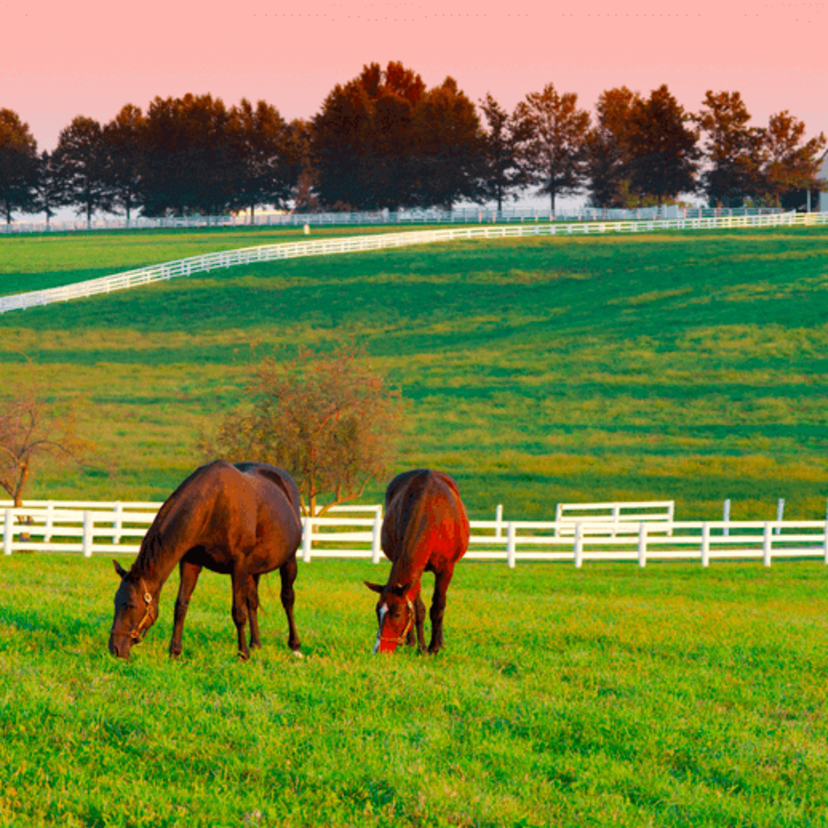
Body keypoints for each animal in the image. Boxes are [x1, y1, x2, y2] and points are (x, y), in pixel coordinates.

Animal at [108, 460, 304, 660]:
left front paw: (243, 654)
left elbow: (238, 612)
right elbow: (181, 606)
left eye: (130, 605)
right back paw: (255, 644)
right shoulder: (190, 563)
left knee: (287, 599)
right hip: (253, 569)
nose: (115, 649)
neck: (213, 506)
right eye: (115, 602)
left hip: (288, 561)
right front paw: (175, 652)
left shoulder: (238, 565)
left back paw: (294, 646)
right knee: (253, 601)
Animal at [366, 472, 468, 652]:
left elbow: (438, 607)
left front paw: (434, 647)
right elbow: (418, 609)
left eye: (397, 614)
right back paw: (411, 642)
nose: (379, 650)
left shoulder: (446, 569)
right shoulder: (416, 571)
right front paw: (421, 647)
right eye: (377, 611)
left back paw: (439, 642)